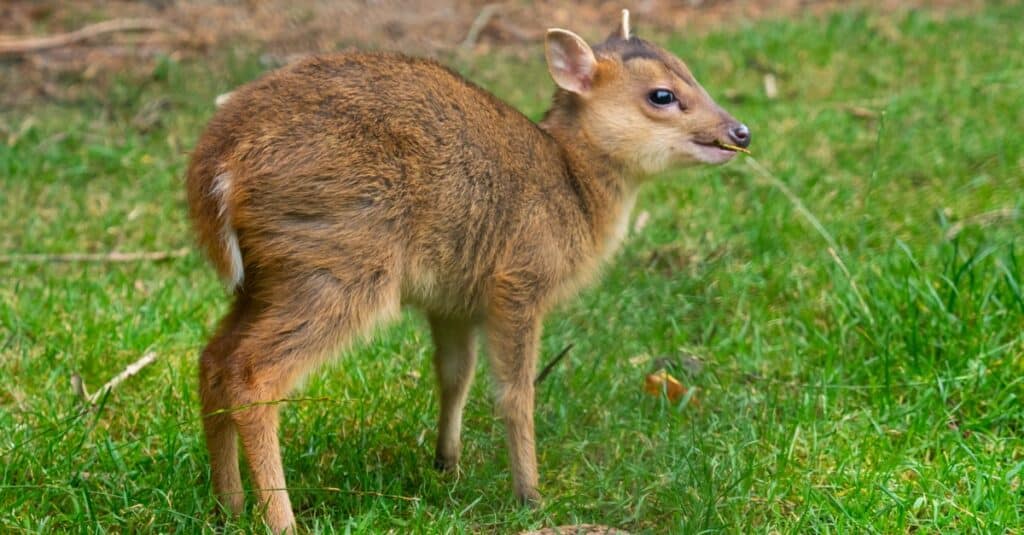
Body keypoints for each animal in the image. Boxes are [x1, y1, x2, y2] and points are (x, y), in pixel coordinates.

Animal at [184, 8, 749, 528]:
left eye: (688, 70)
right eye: (662, 95)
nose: (740, 131)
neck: (574, 190)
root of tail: (216, 167)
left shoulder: (452, 299)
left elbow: (456, 373)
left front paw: (447, 463)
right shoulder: (518, 280)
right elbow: (515, 392)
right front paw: (530, 495)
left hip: (268, 275)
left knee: (213, 359)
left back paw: (228, 506)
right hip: (340, 261)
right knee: (253, 373)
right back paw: (280, 519)